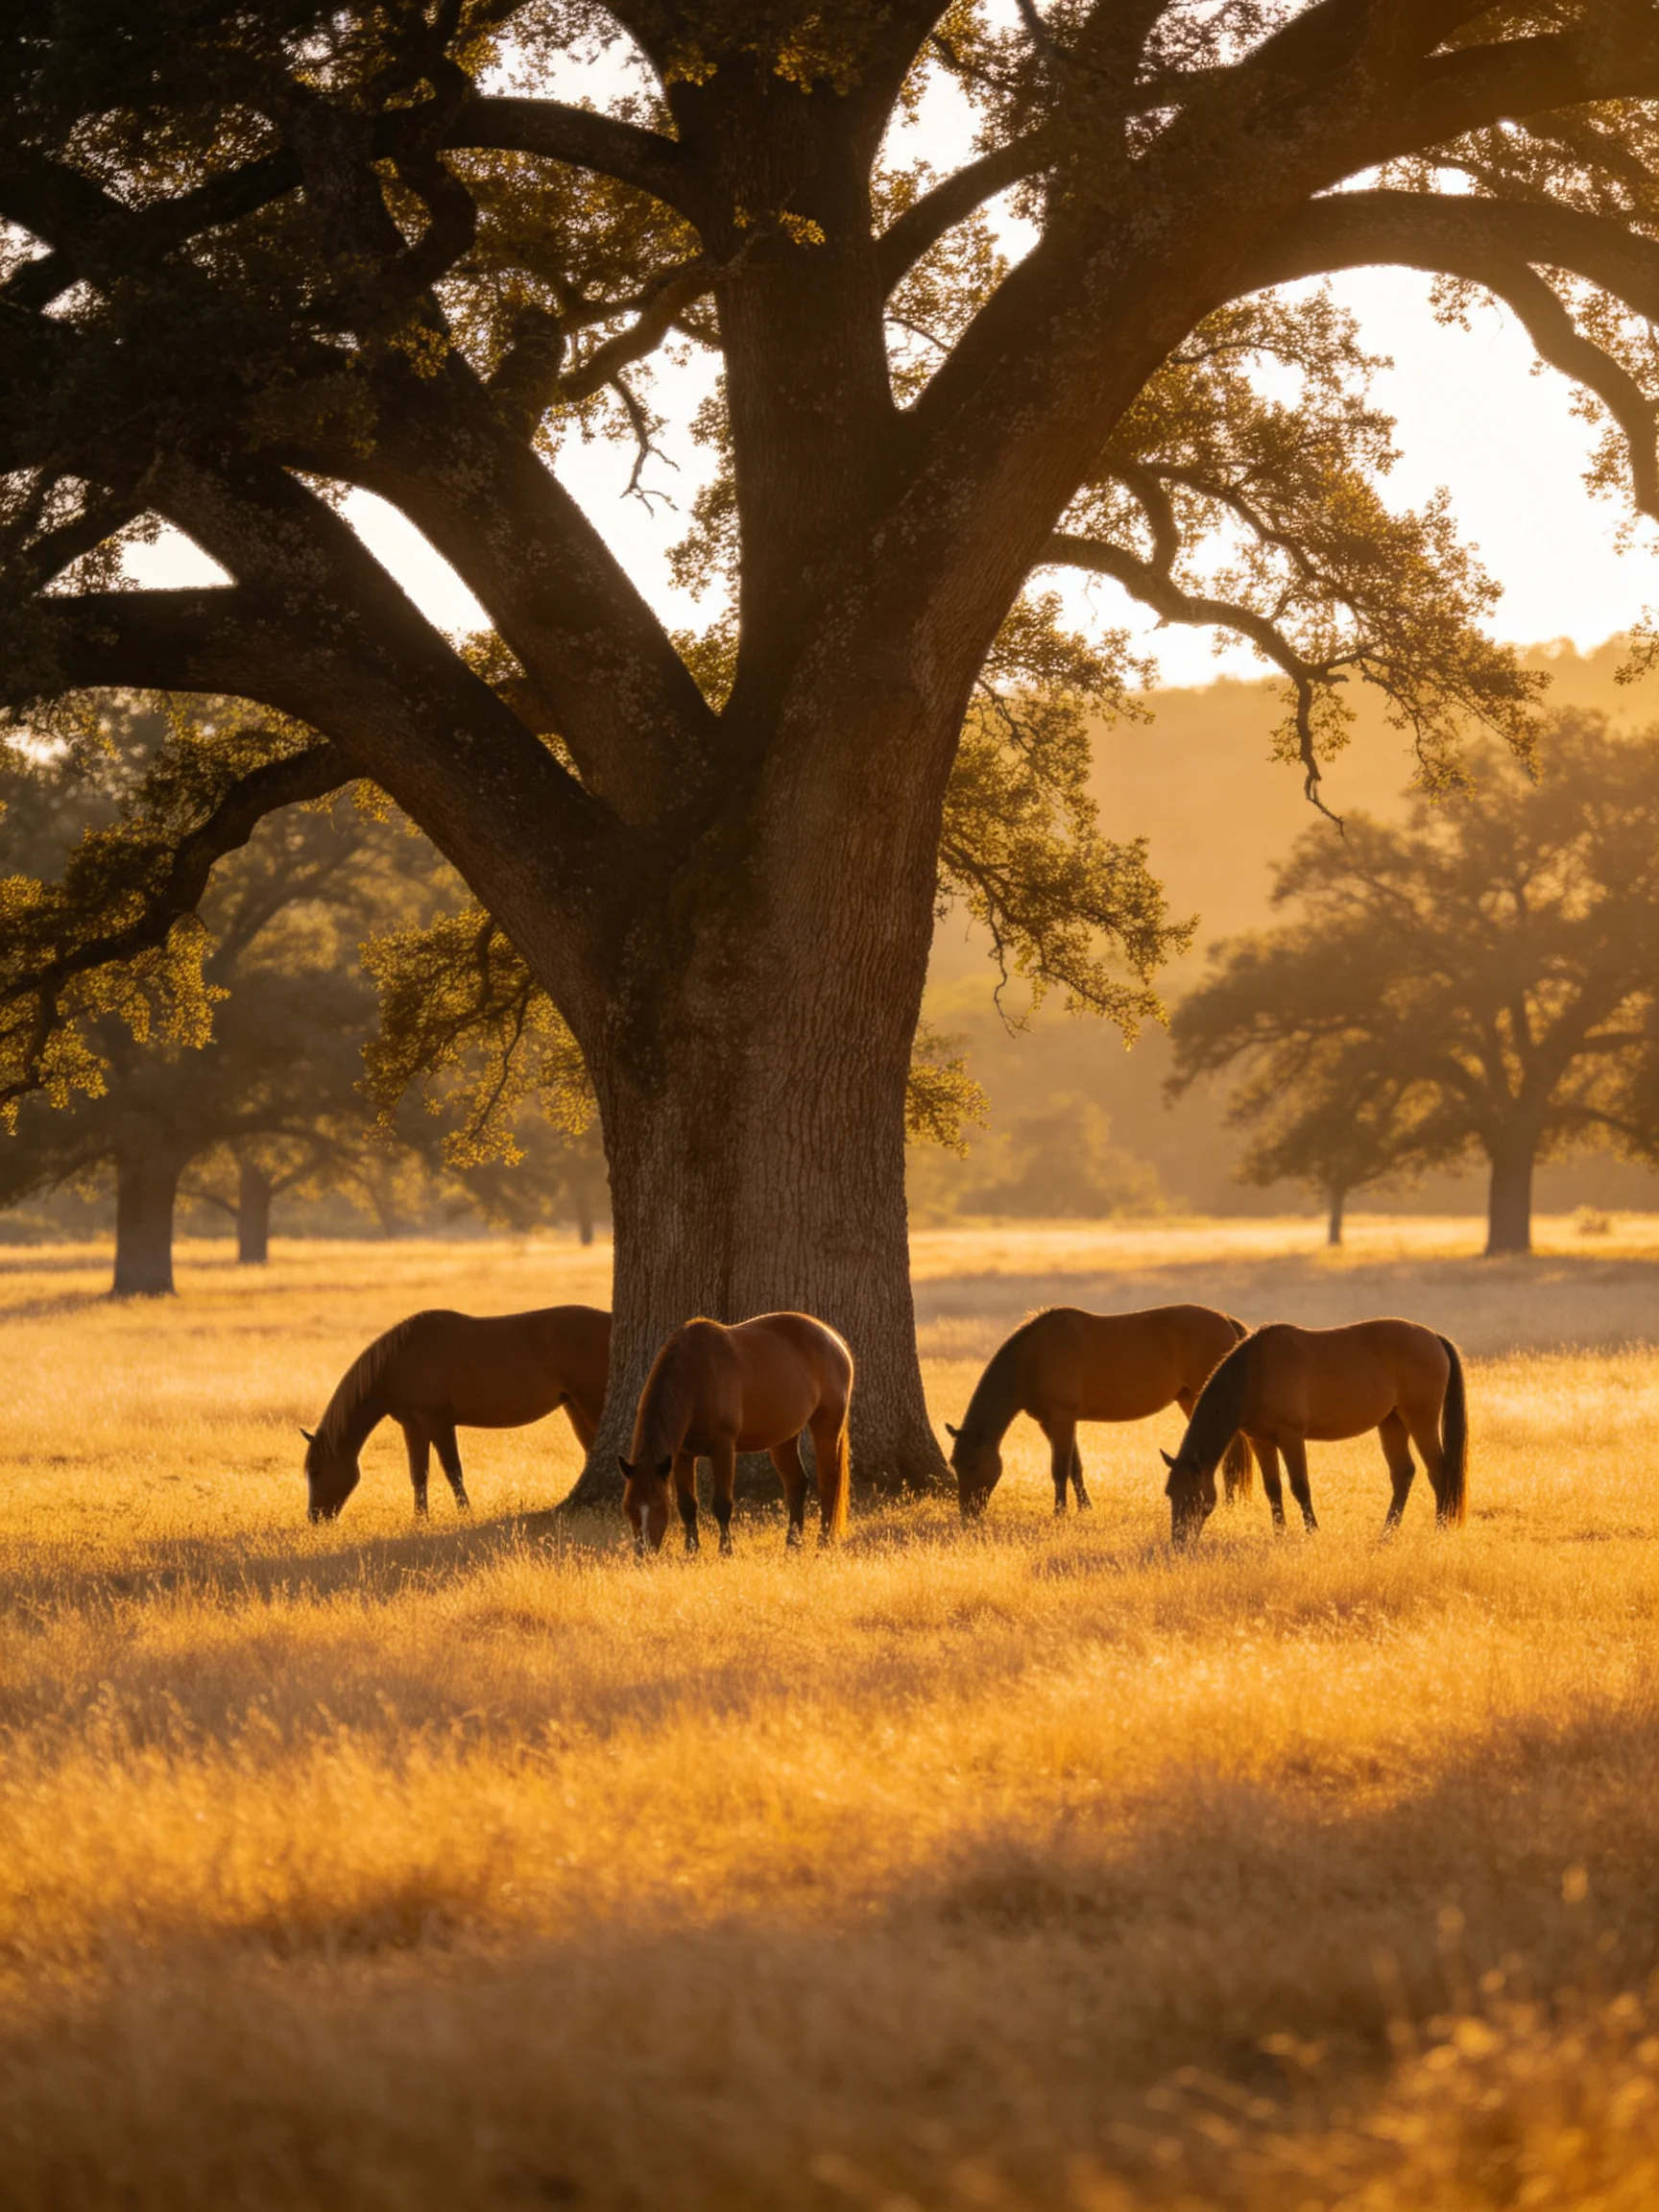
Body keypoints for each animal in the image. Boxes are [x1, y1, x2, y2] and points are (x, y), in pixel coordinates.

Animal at [302, 1305, 611, 1521]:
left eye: (316, 1471)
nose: (314, 1518)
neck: (399, 1360)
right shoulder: (413, 1426)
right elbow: (418, 1473)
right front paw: (420, 1520)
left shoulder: (438, 1422)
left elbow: (453, 1470)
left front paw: (465, 1513)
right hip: (574, 1406)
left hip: (590, 1402)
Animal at [618, 1312, 852, 1556]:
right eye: (628, 1508)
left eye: (659, 1507)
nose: (643, 1554)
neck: (696, 1376)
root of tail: (835, 1340)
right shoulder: (683, 1455)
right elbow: (687, 1504)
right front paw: (692, 1552)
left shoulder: (723, 1448)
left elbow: (722, 1504)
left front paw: (725, 1551)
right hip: (785, 1436)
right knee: (796, 1483)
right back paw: (792, 1544)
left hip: (827, 1425)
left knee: (828, 1482)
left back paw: (824, 1541)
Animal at [947, 1304, 1255, 1519]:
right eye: (955, 1464)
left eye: (973, 1465)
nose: (968, 1515)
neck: (1034, 1357)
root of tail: (1226, 1320)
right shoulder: (1052, 1422)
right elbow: (1075, 1466)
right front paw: (1085, 1507)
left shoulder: (1062, 1417)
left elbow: (1060, 1468)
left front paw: (1059, 1512)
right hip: (1189, 1399)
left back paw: (1230, 1503)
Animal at [1160, 1318, 1467, 1546]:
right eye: (1171, 1494)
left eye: (1194, 1497)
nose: (1179, 1543)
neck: (1255, 1374)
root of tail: (1434, 1338)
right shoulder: (1262, 1442)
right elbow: (1273, 1489)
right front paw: (1280, 1534)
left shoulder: (1291, 1437)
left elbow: (1300, 1487)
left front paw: (1312, 1532)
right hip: (1392, 1423)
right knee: (1403, 1474)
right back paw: (1387, 1534)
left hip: (1421, 1421)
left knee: (1439, 1471)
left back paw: (1440, 1528)